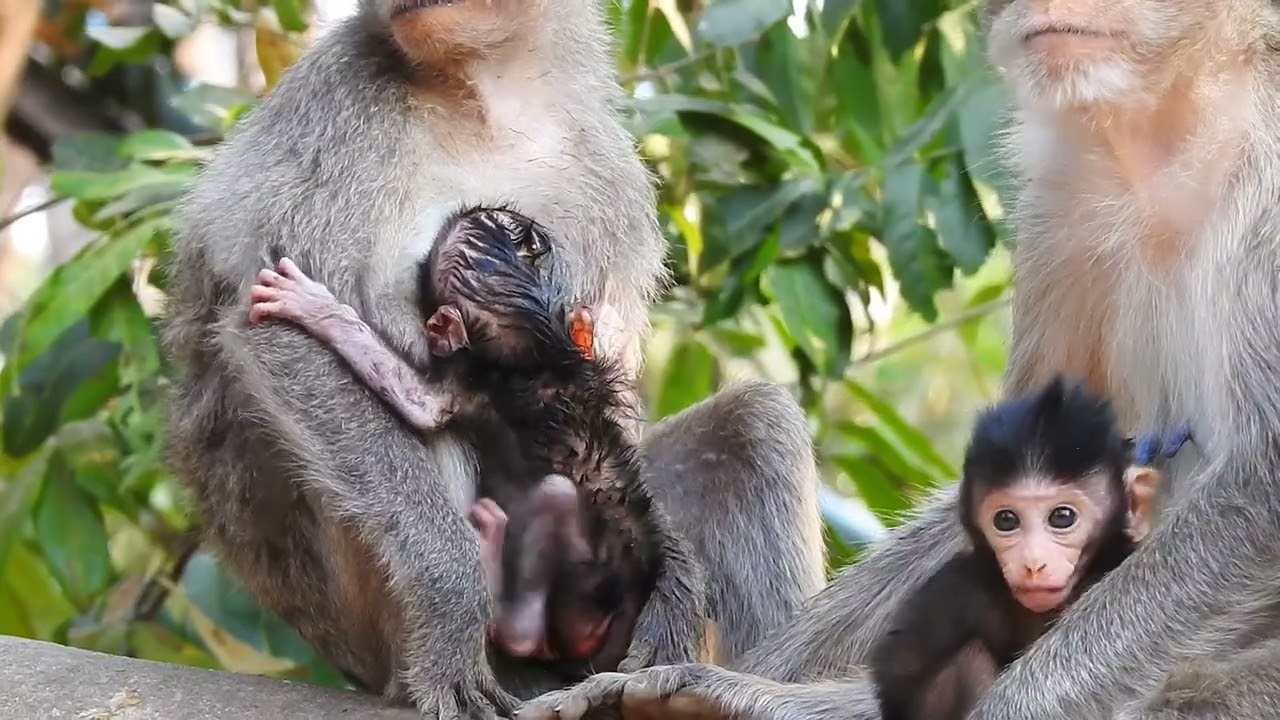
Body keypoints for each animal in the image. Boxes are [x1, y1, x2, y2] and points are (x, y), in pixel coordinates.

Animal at [244, 204, 707, 674]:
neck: (540, 349)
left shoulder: (470, 381)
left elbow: (418, 402)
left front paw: (316, 308)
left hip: (586, 591)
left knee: (555, 501)